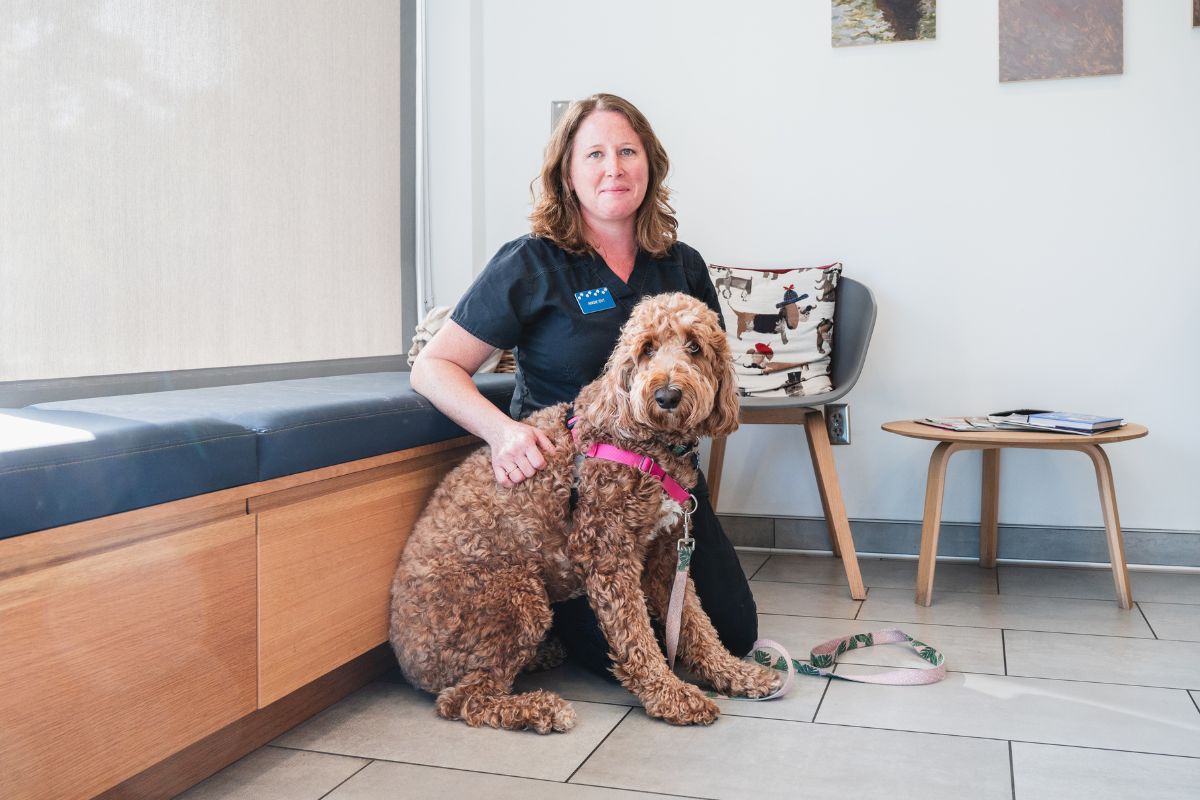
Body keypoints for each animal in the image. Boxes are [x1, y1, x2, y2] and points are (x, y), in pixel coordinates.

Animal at [388, 292, 772, 734]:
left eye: (694, 347)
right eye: (647, 349)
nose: (667, 396)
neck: (644, 441)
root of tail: (408, 661)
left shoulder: (665, 555)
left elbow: (695, 623)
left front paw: (734, 673)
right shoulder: (608, 555)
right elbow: (637, 637)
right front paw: (671, 695)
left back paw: (543, 657)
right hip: (518, 596)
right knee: (463, 699)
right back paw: (539, 708)